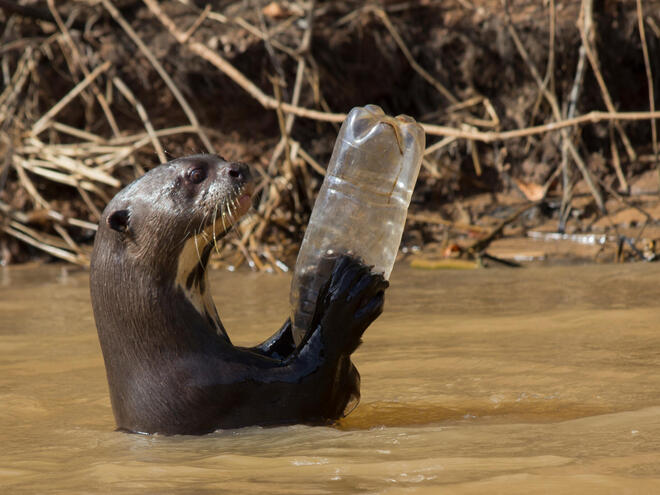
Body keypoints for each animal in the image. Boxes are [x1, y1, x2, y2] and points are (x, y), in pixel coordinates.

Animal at [87, 154, 386, 434]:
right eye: (195, 174)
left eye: (218, 157)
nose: (239, 167)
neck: (172, 353)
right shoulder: (223, 391)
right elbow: (316, 384)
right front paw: (346, 297)